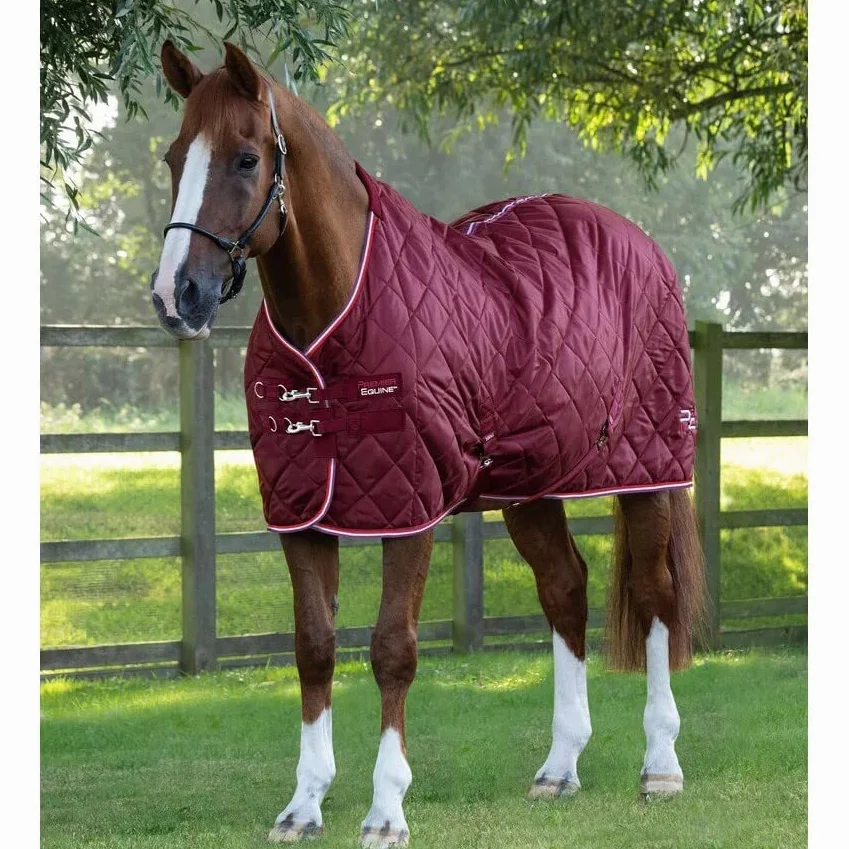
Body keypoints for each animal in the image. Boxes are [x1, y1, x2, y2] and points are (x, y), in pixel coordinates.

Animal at [151, 40, 705, 847]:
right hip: (531, 484)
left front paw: (386, 810)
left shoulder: (408, 508)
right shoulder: (302, 513)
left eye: (246, 159)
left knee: (656, 595)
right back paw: (559, 767)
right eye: (172, 158)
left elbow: (392, 650)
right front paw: (303, 805)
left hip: (648, 468)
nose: (175, 296)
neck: (335, 321)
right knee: (565, 589)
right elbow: (313, 646)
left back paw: (660, 766)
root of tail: (641, 243)